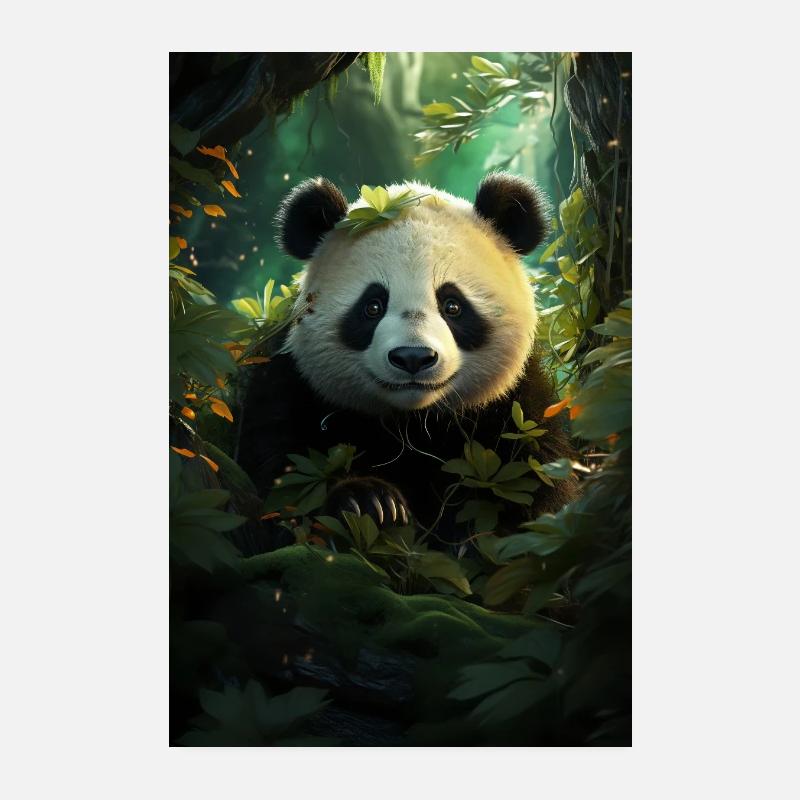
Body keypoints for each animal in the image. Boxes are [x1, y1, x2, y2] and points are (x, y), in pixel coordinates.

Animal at [237, 172, 577, 545]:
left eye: (452, 305)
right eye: (372, 306)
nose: (413, 357)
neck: (412, 424)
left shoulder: (519, 410)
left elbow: (536, 488)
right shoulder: (290, 385)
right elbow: (280, 484)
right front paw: (369, 503)